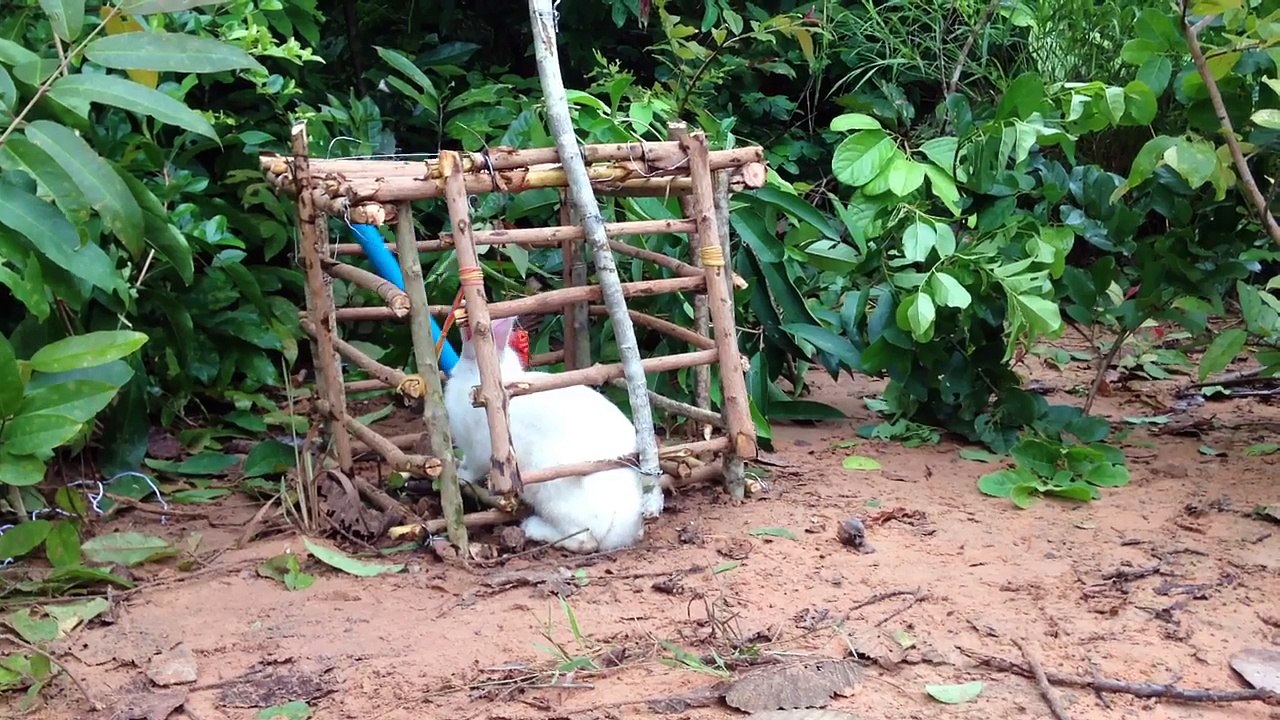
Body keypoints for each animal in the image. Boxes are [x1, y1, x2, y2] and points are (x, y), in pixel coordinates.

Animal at [443, 316, 662, 553]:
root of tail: (620, 528)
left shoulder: (480, 451)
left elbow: (473, 468)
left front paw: (461, 475)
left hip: (553, 495)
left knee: (584, 540)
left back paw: (532, 528)